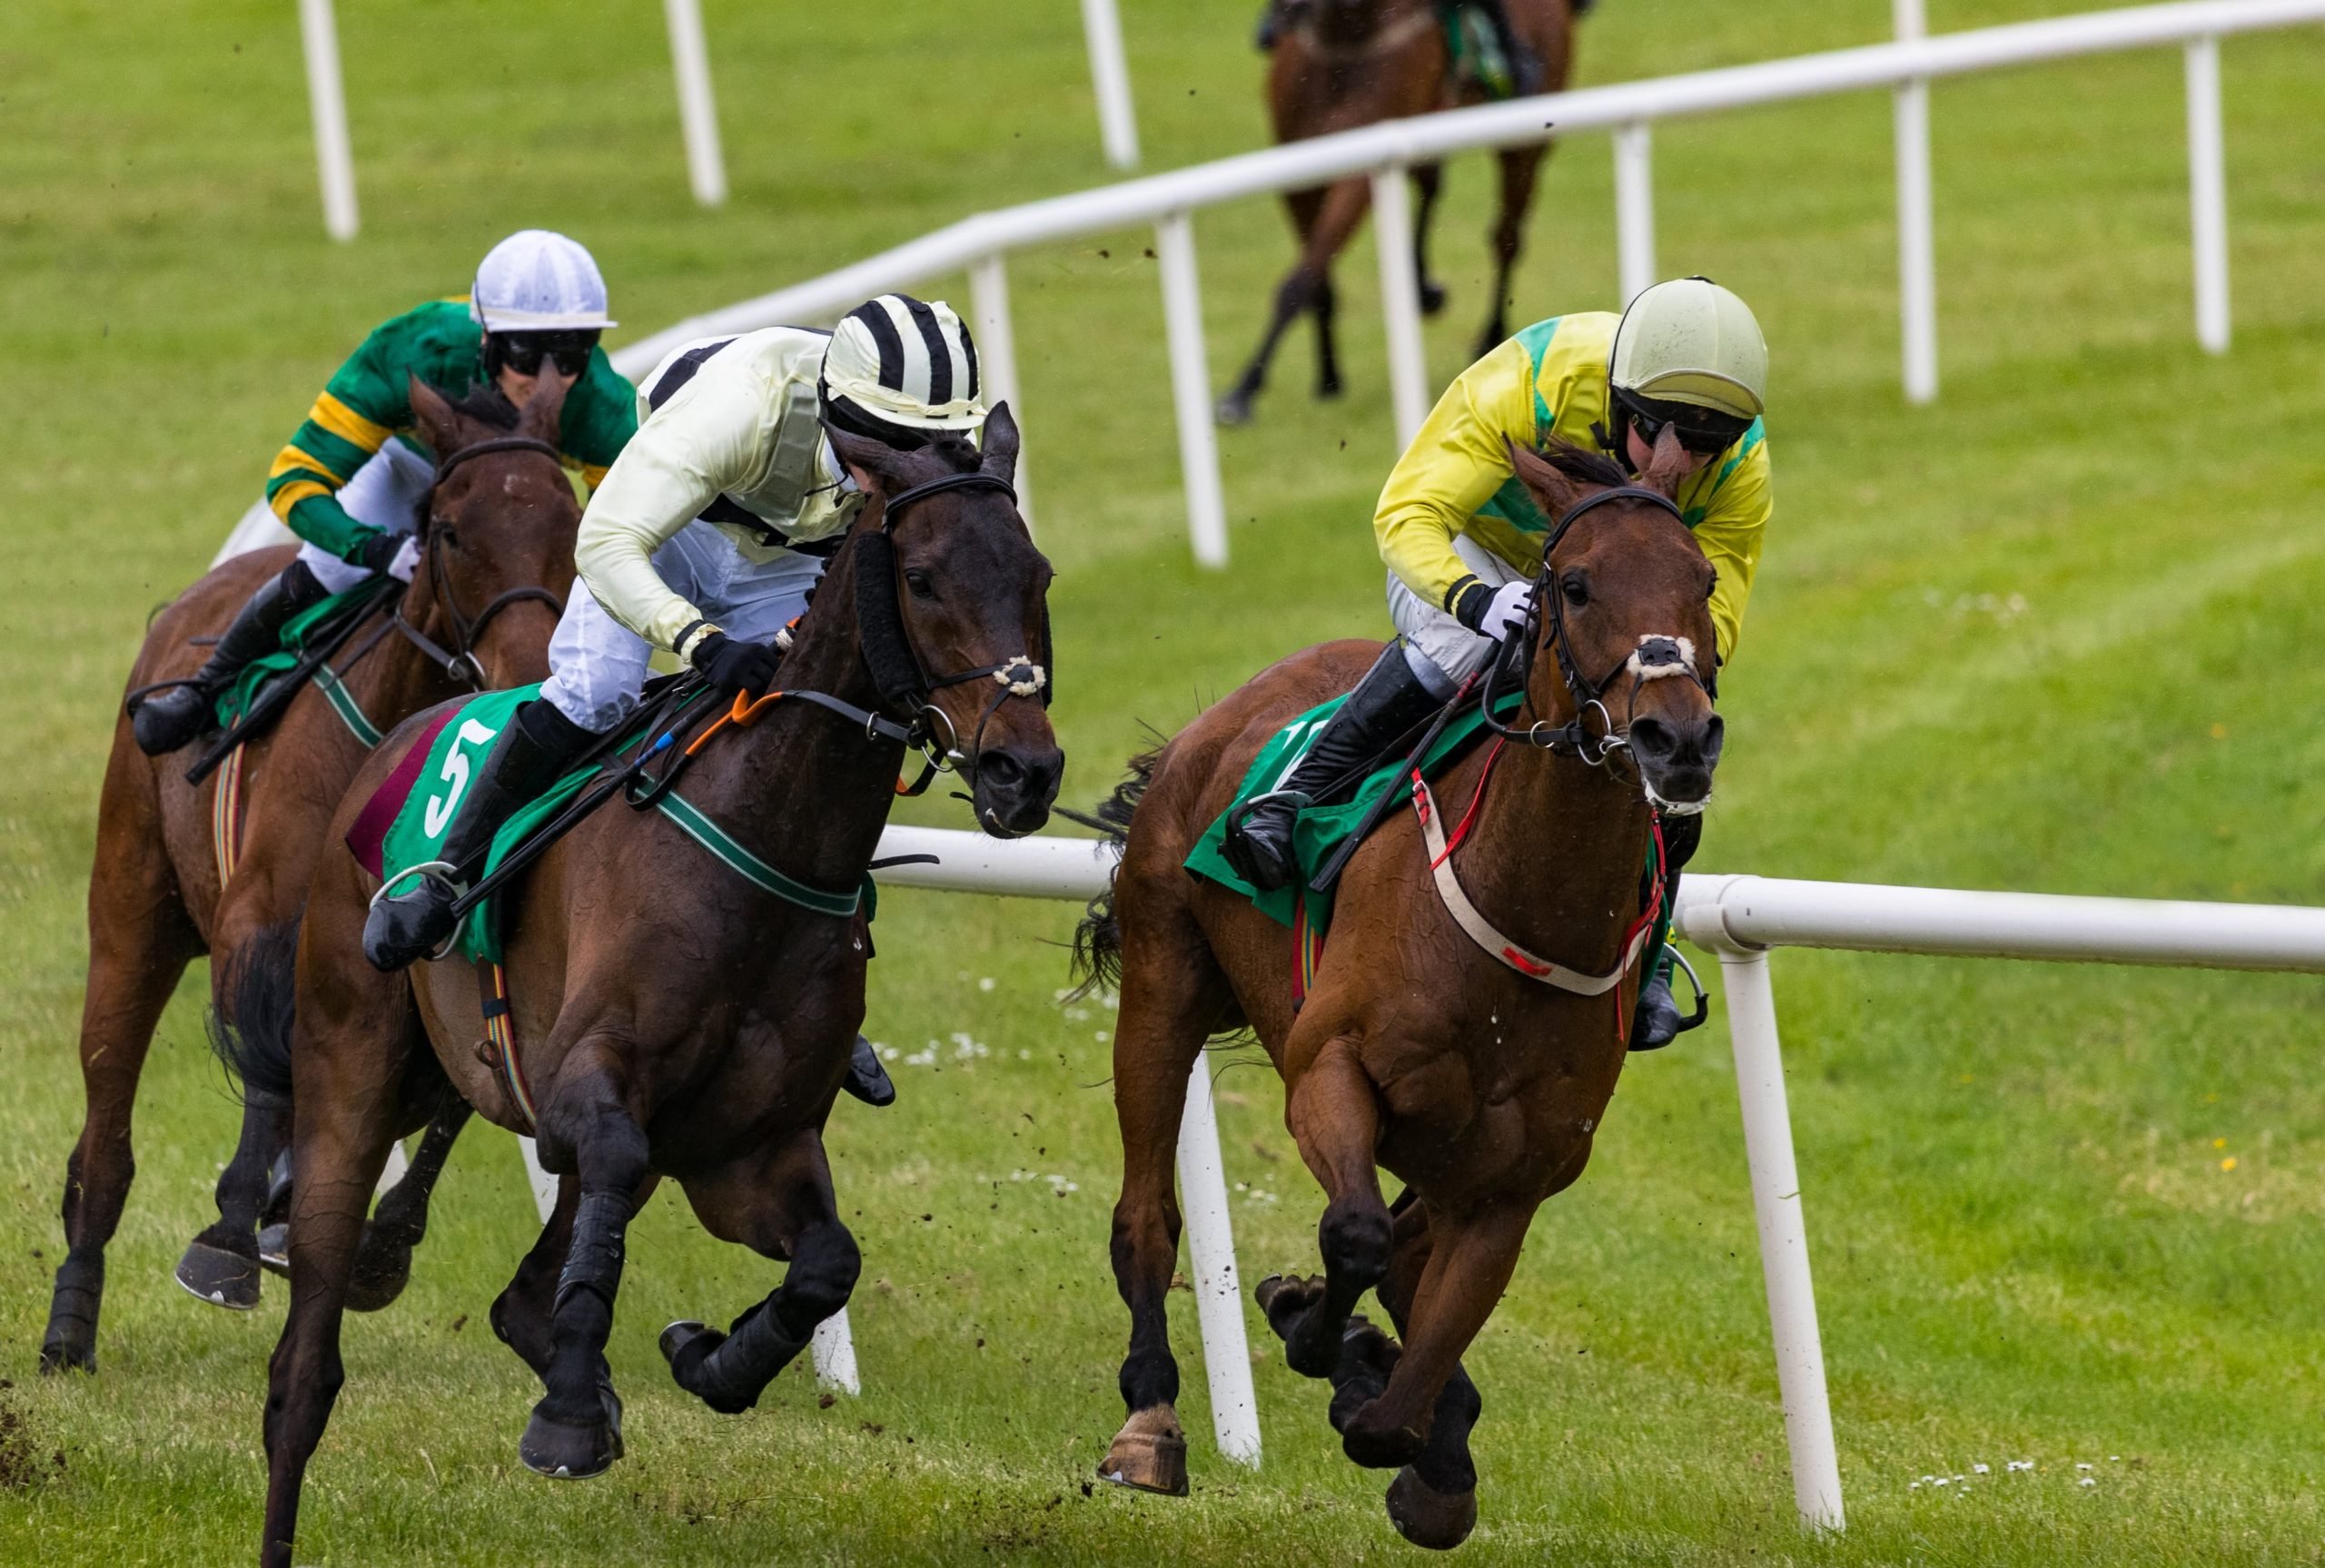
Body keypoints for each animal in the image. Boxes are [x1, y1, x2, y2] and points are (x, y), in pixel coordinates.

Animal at [39, 376, 571, 1375]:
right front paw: (232, 1235)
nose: (529, 672)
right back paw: (71, 1320)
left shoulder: (441, 944)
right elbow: (267, 1057)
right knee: (107, 1121)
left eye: (571, 521)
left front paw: (370, 1242)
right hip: (132, 907)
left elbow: (451, 1090)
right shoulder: (259, 918)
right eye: (449, 529)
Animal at [222, 409, 1060, 1568]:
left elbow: (827, 1261)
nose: (1026, 772)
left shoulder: (747, 1148)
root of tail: (397, 741)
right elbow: (610, 1158)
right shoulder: (585, 1079)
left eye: (1039, 574)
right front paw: (571, 1412)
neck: (768, 832)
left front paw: (710, 1356)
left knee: (522, 1294)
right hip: (352, 1065)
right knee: (303, 1370)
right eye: (925, 577)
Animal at [1078, 434, 1720, 1552]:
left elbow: (1406, 1389)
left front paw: (1403, 1424)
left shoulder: (1510, 1182)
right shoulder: (1329, 1070)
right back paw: (1150, 1418)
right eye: (1574, 583)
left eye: (1707, 583)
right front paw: (1317, 1334)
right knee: (1148, 1215)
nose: (1675, 741)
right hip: (1163, 983)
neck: (1520, 911)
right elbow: (1356, 1235)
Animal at [1218, 0, 1580, 427]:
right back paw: (1424, 290)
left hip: (1524, 144)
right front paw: (1327, 375)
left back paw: (1491, 336)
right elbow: (1316, 276)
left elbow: (1301, 278)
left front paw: (1244, 390)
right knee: (1431, 184)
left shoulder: (1359, 172)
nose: (1281, 18)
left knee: (1505, 239)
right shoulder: (1298, 172)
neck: (1344, 35)